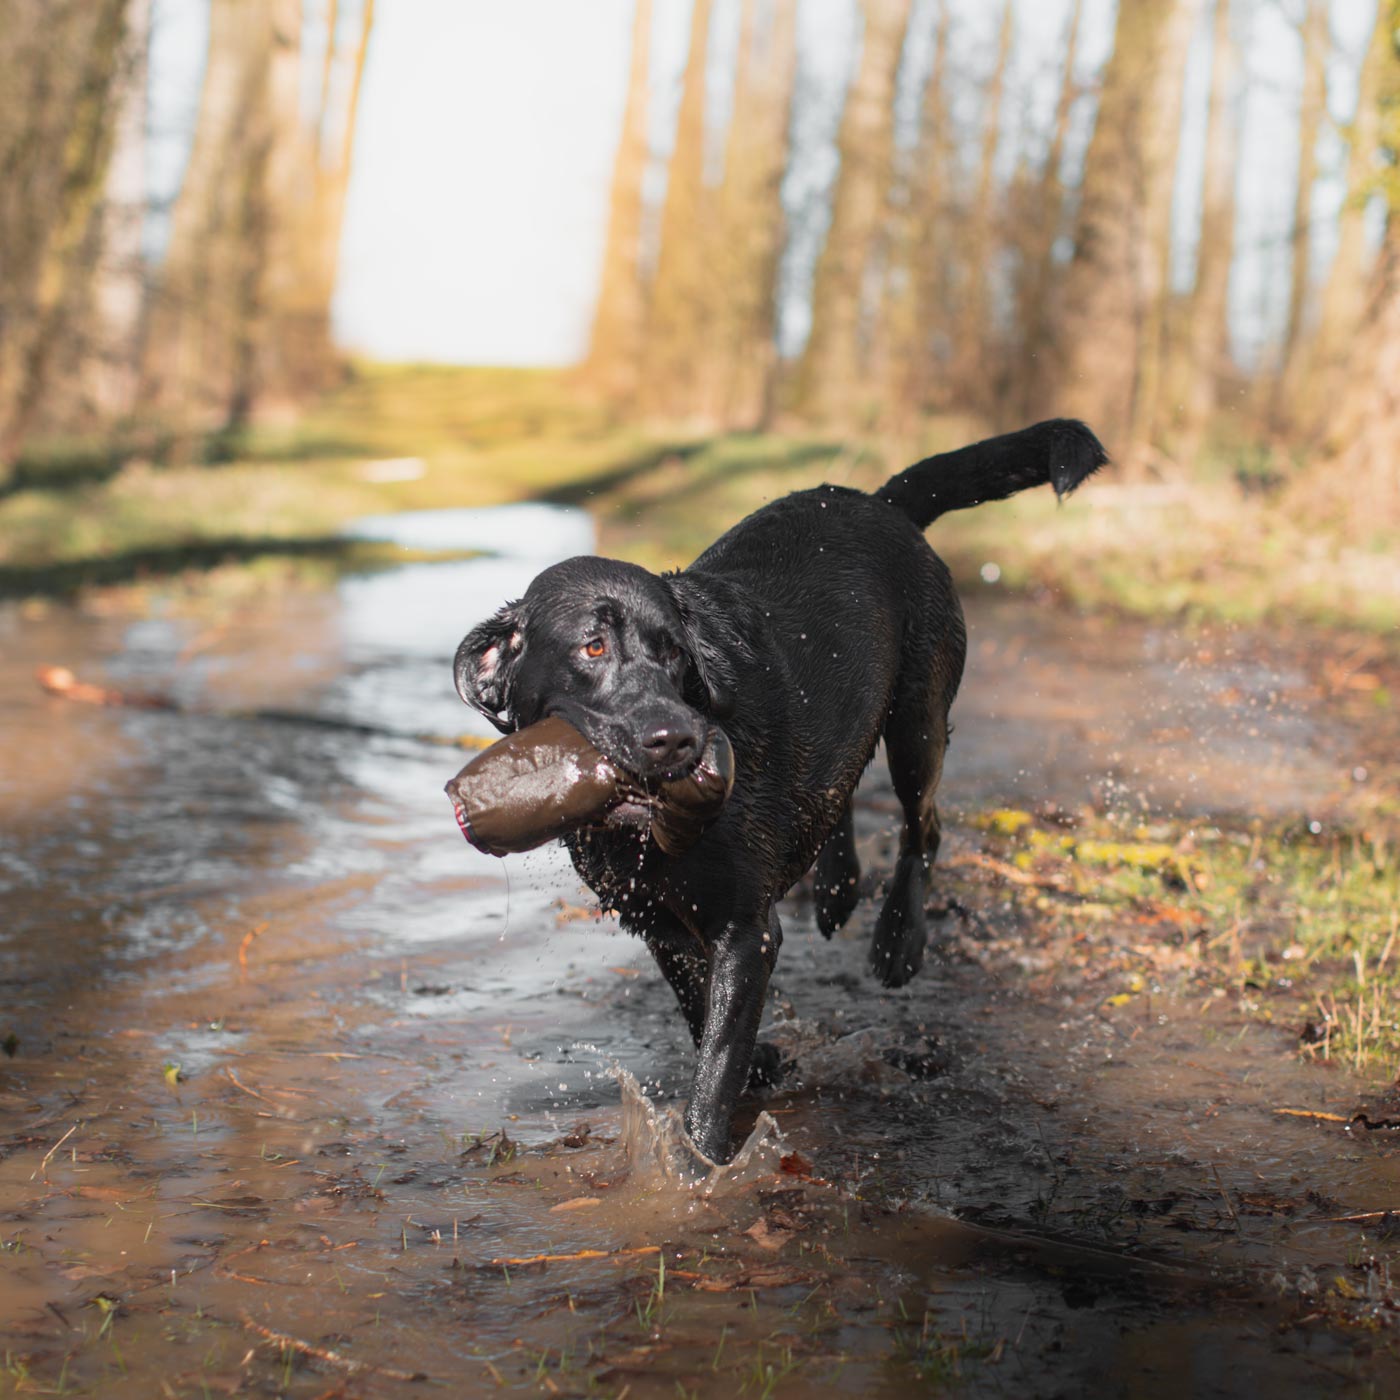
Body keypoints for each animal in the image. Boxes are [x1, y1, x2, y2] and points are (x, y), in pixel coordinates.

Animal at [453, 420, 1108, 1164]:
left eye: (675, 652)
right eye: (592, 648)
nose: (680, 739)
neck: (643, 834)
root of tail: (878, 502)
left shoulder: (747, 931)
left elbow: (715, 1067)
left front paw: (701, 1165)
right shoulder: (654, 920)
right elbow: (695, 1002)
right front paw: (759, 1063)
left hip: (918, 721)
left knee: (924, 824)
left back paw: (898, 938)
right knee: (839, 792)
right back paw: (837, 886)